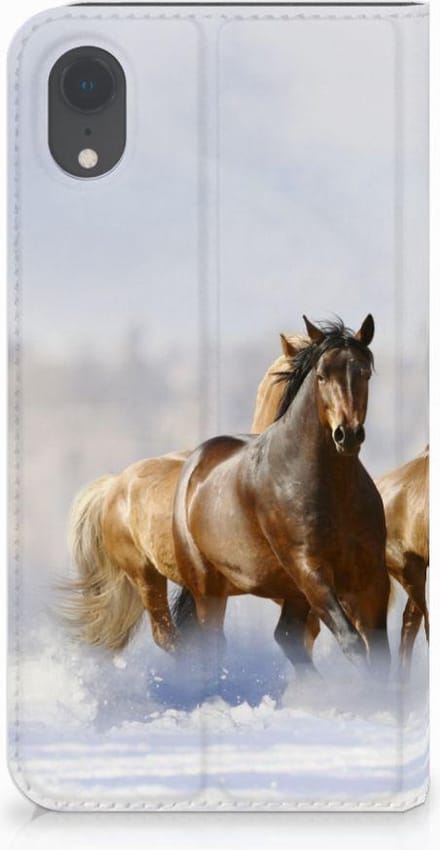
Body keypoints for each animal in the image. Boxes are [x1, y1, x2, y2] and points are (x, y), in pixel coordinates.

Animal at [171, 315, 391, 675]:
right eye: (321, 375)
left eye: (364, 373)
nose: (347, 434)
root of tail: (195, 464)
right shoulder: (310, 571)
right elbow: (352, 642)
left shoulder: (371, 576)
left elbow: (381, 653)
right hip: (208, 588)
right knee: (213, 644)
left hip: (291, 593)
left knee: (287, 636)